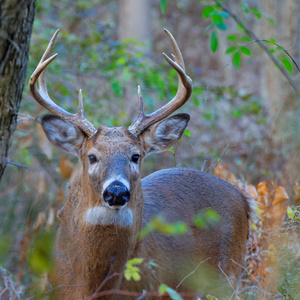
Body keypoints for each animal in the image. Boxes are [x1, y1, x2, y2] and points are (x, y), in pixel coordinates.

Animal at [28, 29, 251, 298]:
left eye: (135, 156)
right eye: (92, 156)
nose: (116, 191)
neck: (88, 285)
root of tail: (241, 197)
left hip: (227, 275)